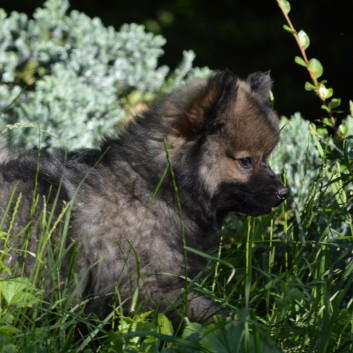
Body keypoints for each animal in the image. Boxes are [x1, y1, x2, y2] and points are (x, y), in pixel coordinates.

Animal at [0, 71, 286, 324]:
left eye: (267, 158)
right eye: (246, 161)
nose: (283, 193)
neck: (156, 189)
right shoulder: (147, 287)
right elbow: (216, 317)